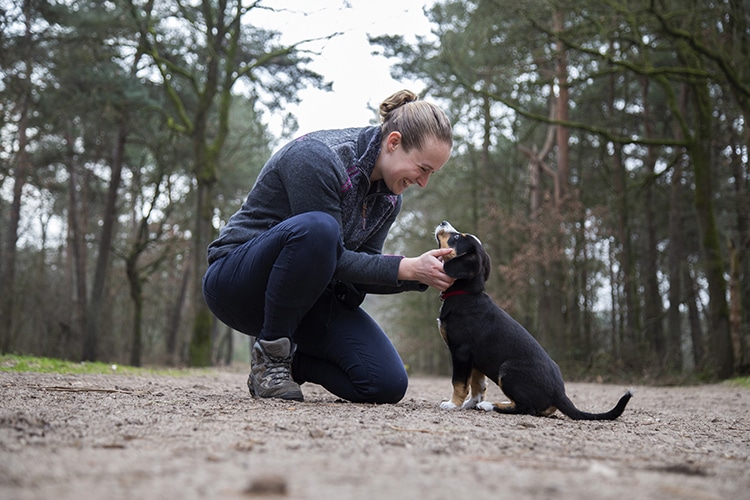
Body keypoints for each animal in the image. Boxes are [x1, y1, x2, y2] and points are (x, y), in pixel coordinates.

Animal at [434, 221, 636, 420]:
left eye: (457, 237)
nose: (443, 222)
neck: (466, 293)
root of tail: (559, 394)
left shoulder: (461, 351)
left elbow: (459, 383)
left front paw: (453, 404)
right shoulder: (474, 358)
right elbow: (478, 384)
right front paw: (469, 404)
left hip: (507, 370)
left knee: (526, 408)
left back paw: (490, 405)